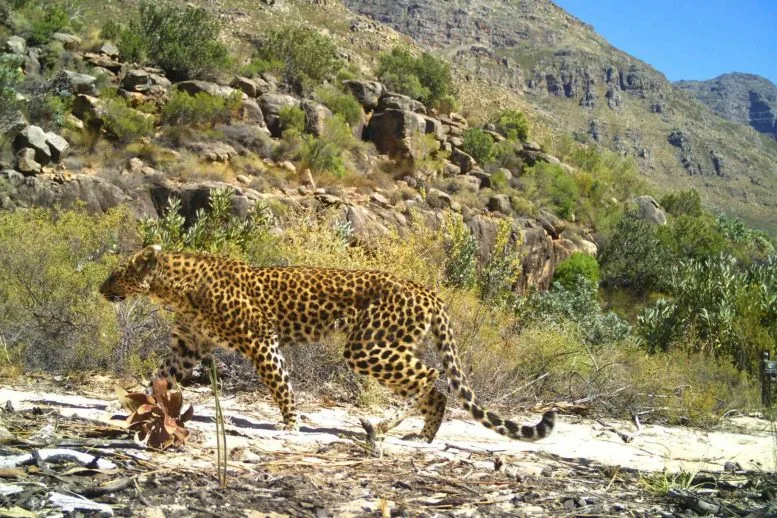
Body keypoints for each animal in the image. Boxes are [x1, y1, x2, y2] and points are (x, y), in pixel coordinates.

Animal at [99, 245, 555, 443]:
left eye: (117, 273)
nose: (101, 288)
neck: (176, 287)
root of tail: (429, 290)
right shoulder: (188, 346)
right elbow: (160, 378)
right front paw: (136, 408)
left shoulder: (260, 340)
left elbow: (280, 385)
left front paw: (290, 423)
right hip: (386, 347)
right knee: (435, 390)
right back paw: (422, 436)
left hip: (367, 347)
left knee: (431, 377)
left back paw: (383, 427)